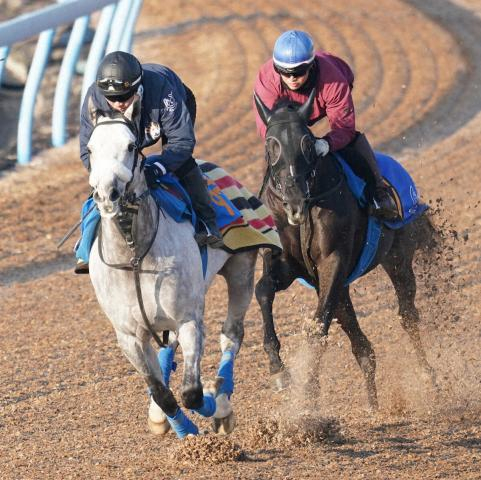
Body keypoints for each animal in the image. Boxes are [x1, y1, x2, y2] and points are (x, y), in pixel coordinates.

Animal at [86, 95, 258, 436]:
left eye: (130, 146)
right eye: (90, 147)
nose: (107, 195)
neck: (135, 257)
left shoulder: (188, 317)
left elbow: (191, 392)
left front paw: (212, 405)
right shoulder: (128, 335)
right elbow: (161, 392)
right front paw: (176, 425)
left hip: (241, 268)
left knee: (231, 334)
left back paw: (222, 398)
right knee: (168, 351)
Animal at [255, 88, 436, 406]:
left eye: (307, 142)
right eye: (270, 144)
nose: (293, 202)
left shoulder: (334, 261)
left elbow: (318, 327)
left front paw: (308, 395)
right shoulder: (288, 267)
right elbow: (263, 290)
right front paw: (278, 369)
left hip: (398, 256)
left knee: (407, 315)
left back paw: (427, 376)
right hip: (342, 287)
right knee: (362, 346)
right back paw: (373, 403)